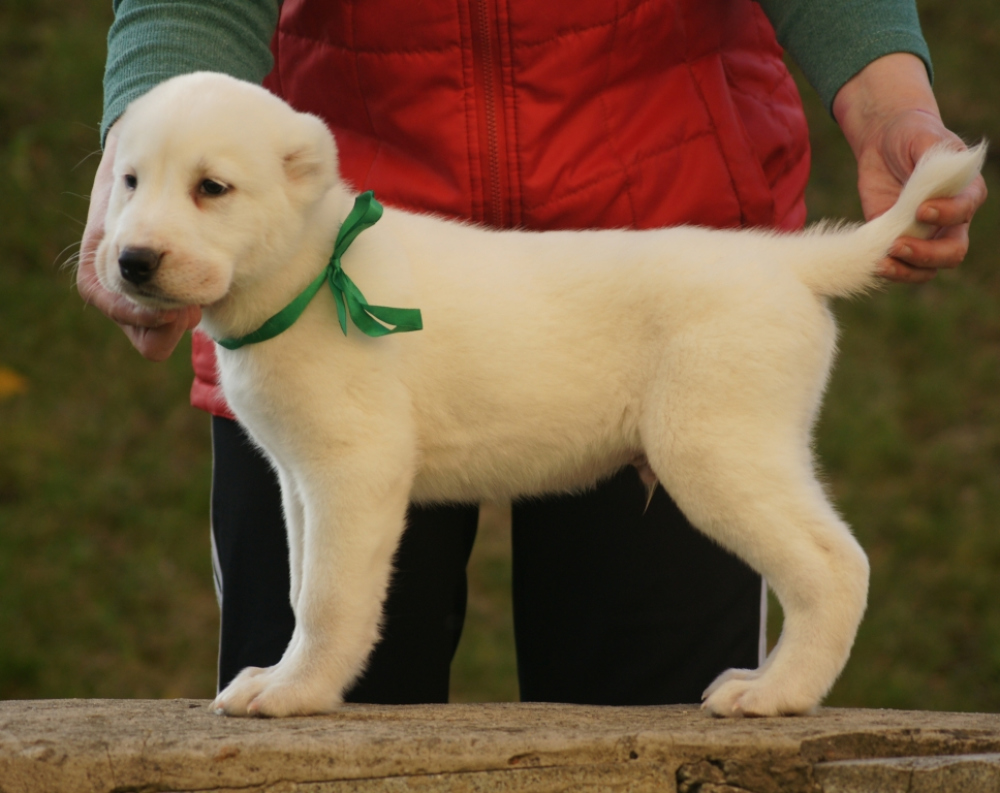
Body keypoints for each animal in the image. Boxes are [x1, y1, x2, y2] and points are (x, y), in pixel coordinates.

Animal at [94, 74, 984, 716]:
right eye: (130, 181)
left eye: (212, 188)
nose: (131, 260)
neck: (314, 271)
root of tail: (787, 260)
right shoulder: (299, 479)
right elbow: (297, 582)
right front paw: (281, 675)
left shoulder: (353, 472)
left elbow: (329, 596)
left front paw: (298, 691)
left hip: (720, 448)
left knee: (834, 565)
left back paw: (778, 692)